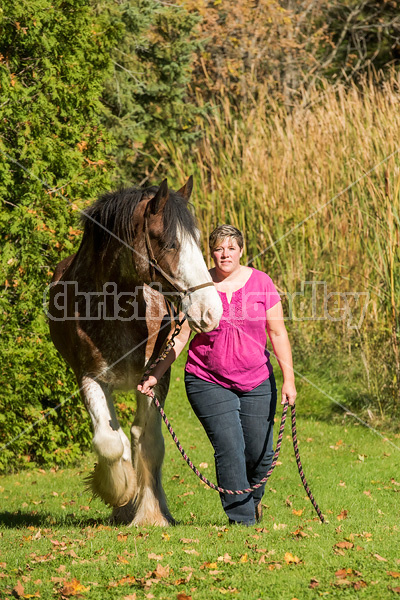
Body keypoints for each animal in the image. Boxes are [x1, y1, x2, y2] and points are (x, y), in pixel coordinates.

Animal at [48, 178, 222, 524]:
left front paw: (152, 514)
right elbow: (110, 443)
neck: (117, 307)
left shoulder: (156, 377)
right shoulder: (89, 377)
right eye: (168, 243)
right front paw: (120, 492)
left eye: (197, 241)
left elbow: (149, 441)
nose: (211, 311)